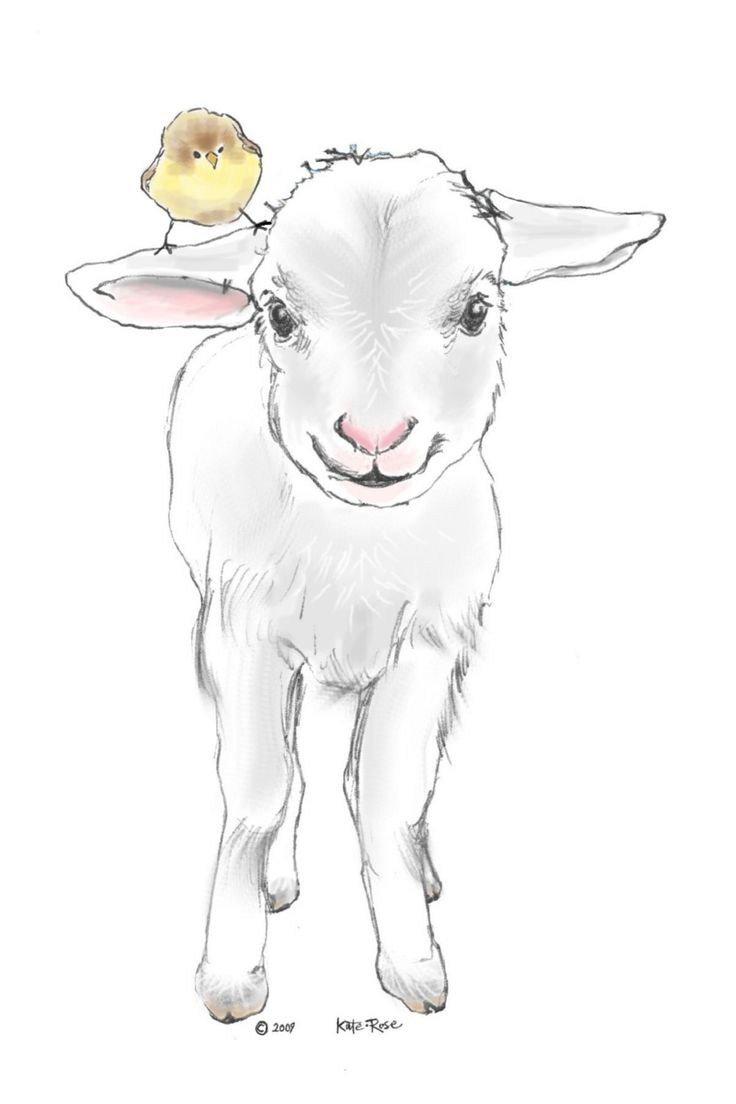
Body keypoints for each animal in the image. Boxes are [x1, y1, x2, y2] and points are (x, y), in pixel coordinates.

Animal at [66, 148, 664, 1021]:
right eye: (279, 316)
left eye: (477, 310)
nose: (374, 438)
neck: (356, 547)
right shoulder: (241, 637)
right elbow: (258, 795)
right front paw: (231, 974)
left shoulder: (430, 644)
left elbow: (387, 796)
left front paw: (412, 961)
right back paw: (280, 878)